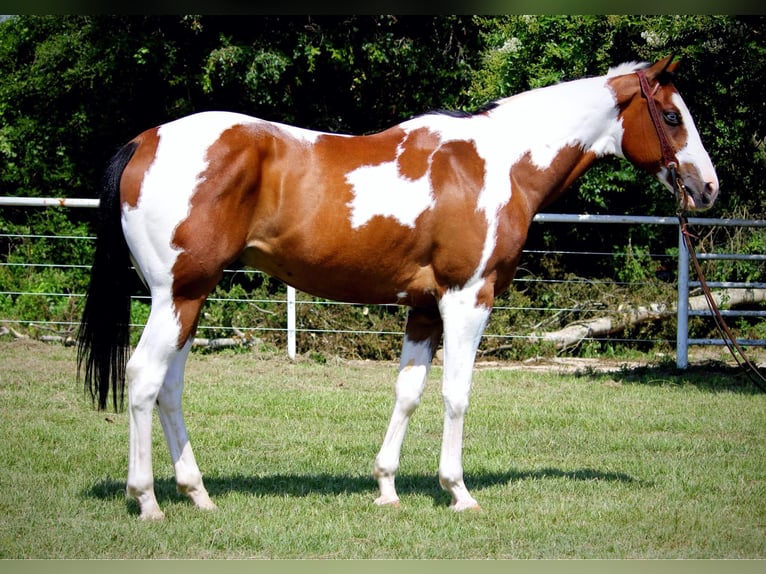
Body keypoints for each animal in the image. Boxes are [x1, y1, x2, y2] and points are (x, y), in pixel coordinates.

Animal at [78, 55, 720, 520]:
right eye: (671, 117)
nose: (708, 187)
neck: (501, 162)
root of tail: (145, 141)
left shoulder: (425, 308)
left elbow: (407, 392)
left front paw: (386, 488)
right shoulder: (468, 297)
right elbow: (456, 394)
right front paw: (458, 491)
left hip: (190, 299)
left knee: (169, 388)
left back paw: (198, 494)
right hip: (178, 295)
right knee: (143, 379)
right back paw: (148, 501)